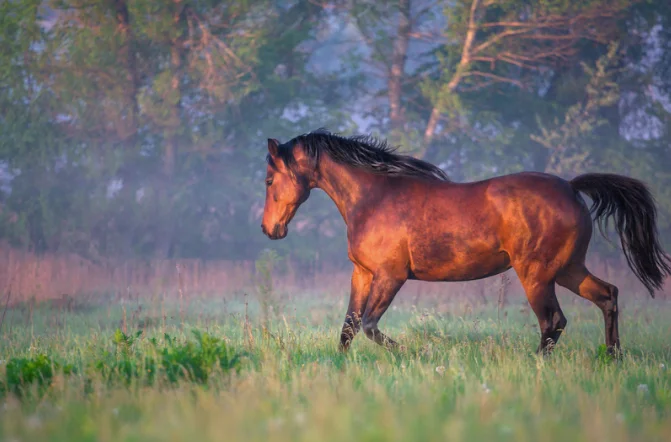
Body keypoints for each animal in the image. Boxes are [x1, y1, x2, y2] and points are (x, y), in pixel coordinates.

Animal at [260, 129, 671, 355]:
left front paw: (415, 352)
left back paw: (536, 365)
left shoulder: (391, 276)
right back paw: (613, 358)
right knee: (607, 296)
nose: (268, 230)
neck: (374, 197)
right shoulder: (362, 273)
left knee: (553, 321)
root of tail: (571, 187)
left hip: (537, 274)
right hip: (569, 269)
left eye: (268, 180)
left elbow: (370, 326)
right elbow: (349, 326)